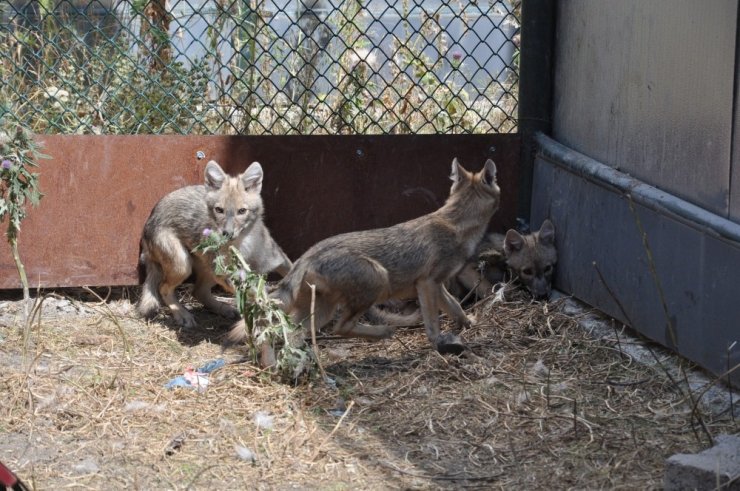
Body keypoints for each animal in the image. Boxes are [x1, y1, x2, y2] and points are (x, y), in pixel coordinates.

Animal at [138, 161, 292, 328]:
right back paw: (182, 314)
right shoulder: (231, 278)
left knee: (198, 292)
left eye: (242, 211)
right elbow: (259, 297)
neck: (245, 248)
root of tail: (150, 217)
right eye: (219, 210)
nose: (227, 233)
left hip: (207, 271)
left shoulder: (279, 261)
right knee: (163, 288)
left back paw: (224, 309)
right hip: (184, 266)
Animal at [227, 158, 502, 362]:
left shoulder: (438, 285)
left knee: (288, 333)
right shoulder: (427, 283)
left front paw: (468, 323)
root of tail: (307, 255)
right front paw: (438, 342)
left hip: (320, 311)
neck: (455, 223)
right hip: (377, 279)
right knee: (340, 328)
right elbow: (433, 322)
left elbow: (455, 307)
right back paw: (382, 332)